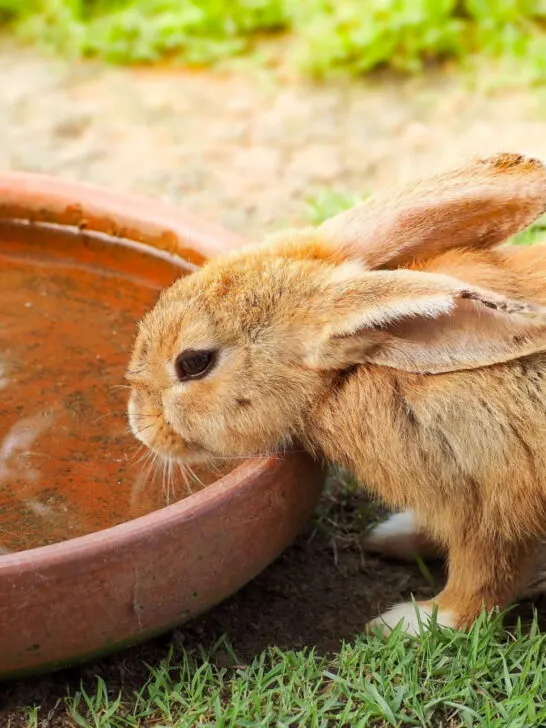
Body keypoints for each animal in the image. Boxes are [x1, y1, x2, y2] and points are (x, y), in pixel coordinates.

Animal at [127, 153, 546, 634]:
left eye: (194, 362)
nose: (138, 424)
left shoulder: (492, 510)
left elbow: (482, 583)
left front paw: (409, 621)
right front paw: (391, 536)